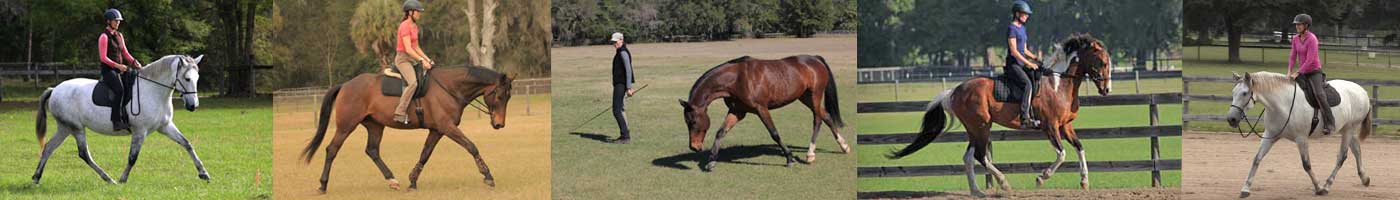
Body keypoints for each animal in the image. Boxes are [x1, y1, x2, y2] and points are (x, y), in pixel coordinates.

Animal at [32, 54, 204, 184]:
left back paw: (36, 178)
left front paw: (203, 173)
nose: (193, 105)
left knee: (48, 147)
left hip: (65, 127)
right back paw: (109, 179)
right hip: (76, 128)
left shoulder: (165, 126)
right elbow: (133, 157)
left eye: (197, 78)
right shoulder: (140, 131)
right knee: (84, 154)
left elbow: (187, 144)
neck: (154, 91)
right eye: (187, 78)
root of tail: (55, 89)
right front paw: (122, 179)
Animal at [301, 66, 515, 194]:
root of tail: (346, 85)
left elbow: (425, 155)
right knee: (332, 149)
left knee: (372, 151)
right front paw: (488, 176)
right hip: (346, 126)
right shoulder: (447, 127)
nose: (499, 124)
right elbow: (471, 147)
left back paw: (392, 180)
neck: (450, 87)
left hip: (375, 126)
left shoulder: (437, 130)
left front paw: (412, 181)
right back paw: (323, 184)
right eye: (499, 96)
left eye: (508, 97)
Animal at [674, 53, 845, 171]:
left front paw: (789, 158)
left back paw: (810, 154)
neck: (736, 79)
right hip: (805, 98)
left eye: (693, 121)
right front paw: (711, 161)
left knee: (818, 120)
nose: (694, 147)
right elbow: (721, 132)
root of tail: (815, 59)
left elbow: (774, 133)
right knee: (827, 117)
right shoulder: (737, 111)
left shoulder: (761, 109)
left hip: (815, 96)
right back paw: (844, 146)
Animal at [890, 34, 1108, 197]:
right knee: (980, 156)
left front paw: (1084, 181)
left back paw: (977, 191)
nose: (1106, 89)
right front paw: (1041, 177)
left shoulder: (1065, 126)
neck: (1058, 85)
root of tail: (955, 91)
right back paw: (1003, 183)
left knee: (968, 157)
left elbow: (1079, 147)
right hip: (982, 126)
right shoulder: (1050, 126)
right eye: (1102, 62)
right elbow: (1061, 154)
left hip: (975, 129)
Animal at [1226, 70, 1377, 197]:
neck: (1282, 104)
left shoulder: (1301, 139)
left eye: (1244, 93)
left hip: (1348, 130)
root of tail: (1362, 91)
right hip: (1347, 130)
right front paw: (1245, 189)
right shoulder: (1270, 136)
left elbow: (1306, 164)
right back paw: (1365, 178)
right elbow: (1257, 159)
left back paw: (1327, 185)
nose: (1231, 119)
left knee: (1341, 157)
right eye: (1233, 92)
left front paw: (1318, 188)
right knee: (1356, 150)